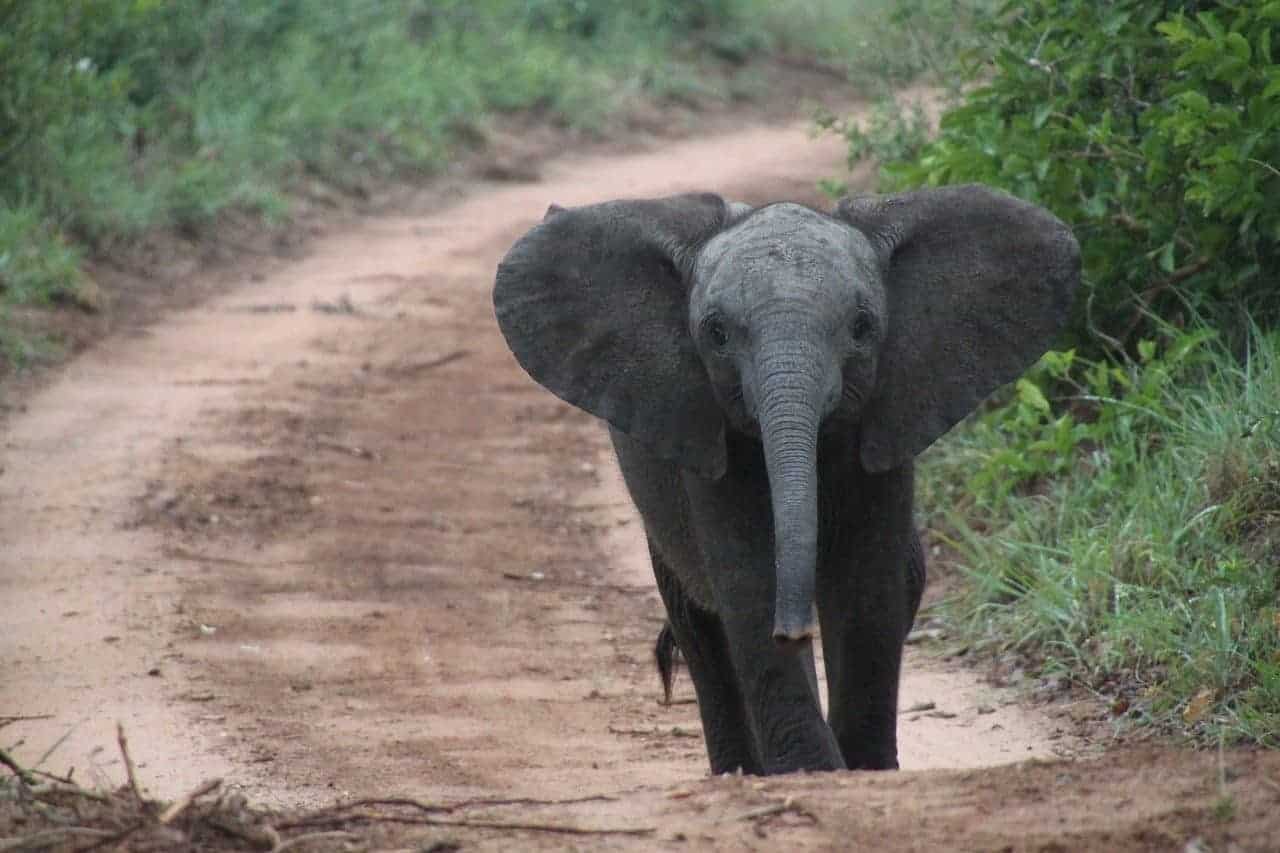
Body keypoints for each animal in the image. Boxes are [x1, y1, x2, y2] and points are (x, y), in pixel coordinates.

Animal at [494, 189, 1075, 773]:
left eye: (862, 327)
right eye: (716, 334)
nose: (793, 632)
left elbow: (868, 585)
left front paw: (867, 769)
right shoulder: (709, 434)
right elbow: (749, 580)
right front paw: (813, 771)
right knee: (696, 622)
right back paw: (740, 771)